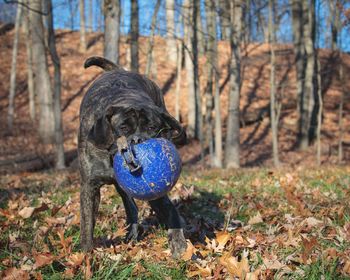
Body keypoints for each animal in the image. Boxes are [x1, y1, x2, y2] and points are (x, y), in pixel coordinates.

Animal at [78, 55, 187, 258]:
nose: (137, 139)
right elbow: (87, 224)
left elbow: (169, 210)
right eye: (123, 127)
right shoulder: (90, 186)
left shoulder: (156, 191)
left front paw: (178, 242)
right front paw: (86, 254)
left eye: (152, 127)